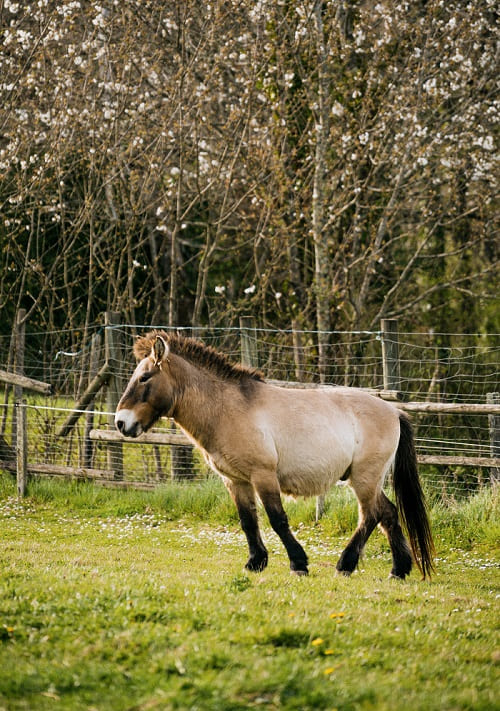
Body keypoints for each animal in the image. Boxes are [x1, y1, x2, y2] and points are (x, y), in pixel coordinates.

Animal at [115, 331, 435, 579]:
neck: (227, 409)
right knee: (388, 514)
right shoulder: (236, 481)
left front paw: (298, 563)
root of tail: (394, 412)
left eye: (144, 377)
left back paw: (346, 564)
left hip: (364, 478)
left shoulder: (263, 476)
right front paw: (255, 562)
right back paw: (399, 570)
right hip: (369, 480)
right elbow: (248, 521)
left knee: (371, 515)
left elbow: (277, 519)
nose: (120, 422)